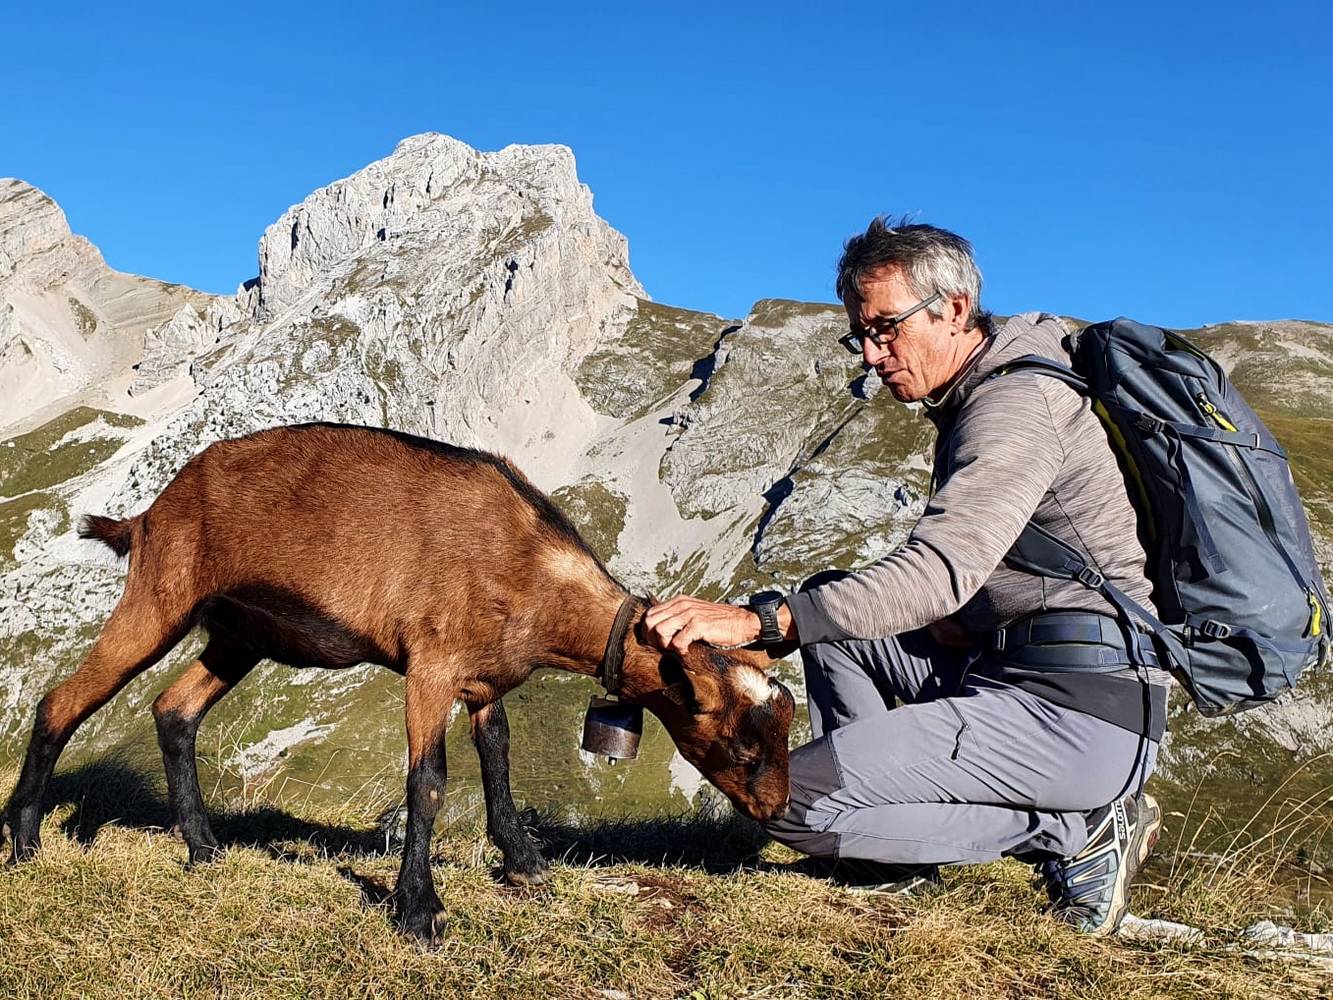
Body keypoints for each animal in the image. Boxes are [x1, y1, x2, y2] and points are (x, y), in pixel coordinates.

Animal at [0, 424, 789, 938]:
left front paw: (524, 864)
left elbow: (497, 759)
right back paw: (26, 839)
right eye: (743, 748)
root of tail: (149, 513)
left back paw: (201, 846)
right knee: (61, 702)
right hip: (159, 599)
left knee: (172, 708)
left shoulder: (484, 682)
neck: (527, 564)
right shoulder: (429, 666)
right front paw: (418, 909)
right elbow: (429, 780)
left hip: (237, 638)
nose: (777, 810)